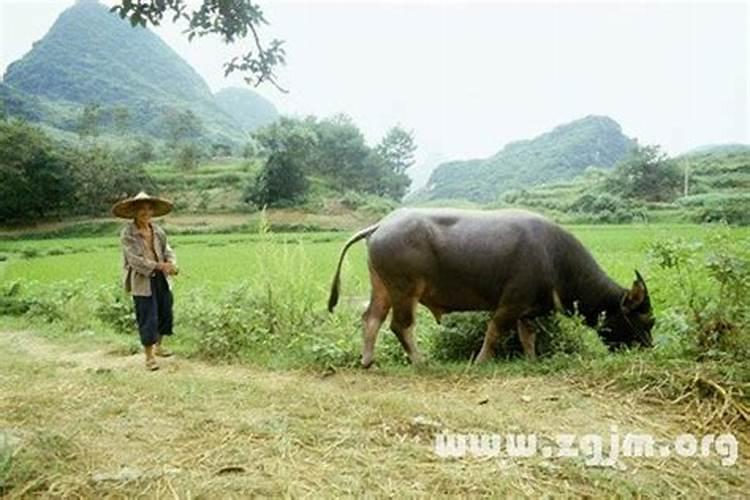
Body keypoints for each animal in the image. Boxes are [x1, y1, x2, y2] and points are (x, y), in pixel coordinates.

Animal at [326, 207, 656, 368]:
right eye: (648, 320)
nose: (649, 348)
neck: (554, 259)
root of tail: (381, 225)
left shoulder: (526, 309)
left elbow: (527, 336)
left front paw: (532, 360)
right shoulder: (510, 304)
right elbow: (495, 332)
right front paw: (481, 361)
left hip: (382, 286)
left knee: (371, 318)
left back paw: (368, 360)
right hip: (405, 290)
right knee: (400, 325)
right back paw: (420, 362)